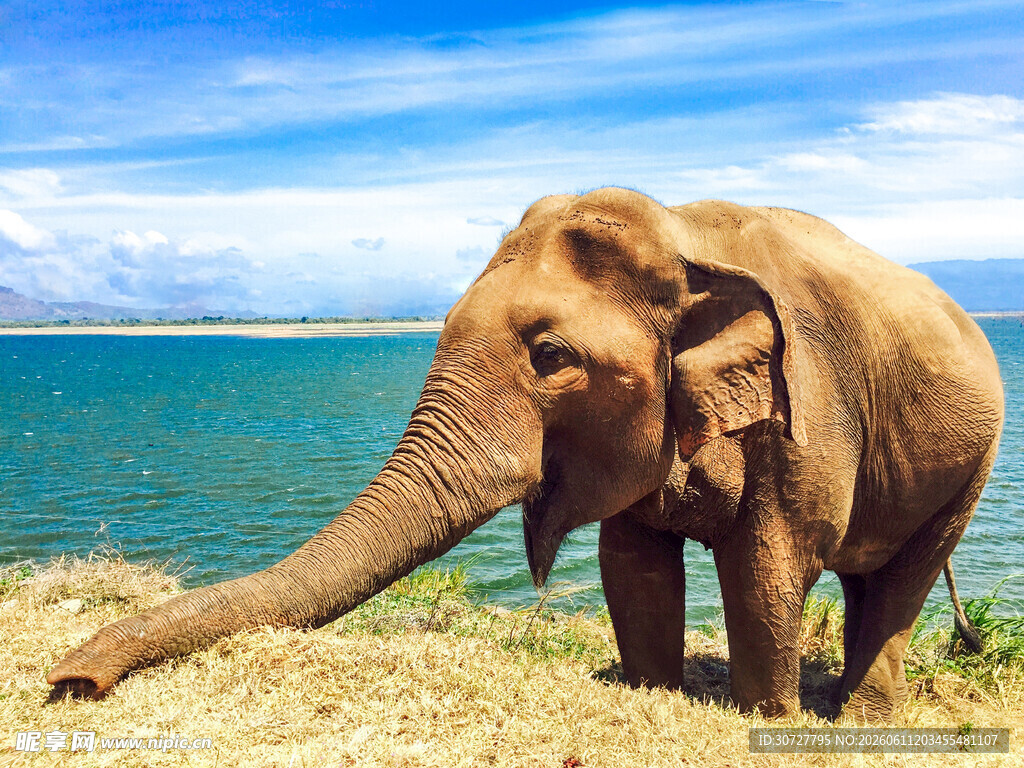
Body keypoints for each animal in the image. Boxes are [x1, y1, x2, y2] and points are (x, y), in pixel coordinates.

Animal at [47, 187, 1003, 721]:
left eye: (550, 356)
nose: (68, 681)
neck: (684, 234)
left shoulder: (809, 408)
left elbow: (771, 562)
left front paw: (765, 721)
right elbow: (631, 561)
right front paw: (654, 695)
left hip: (976, 462)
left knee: (903, 578)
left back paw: (854, 719)